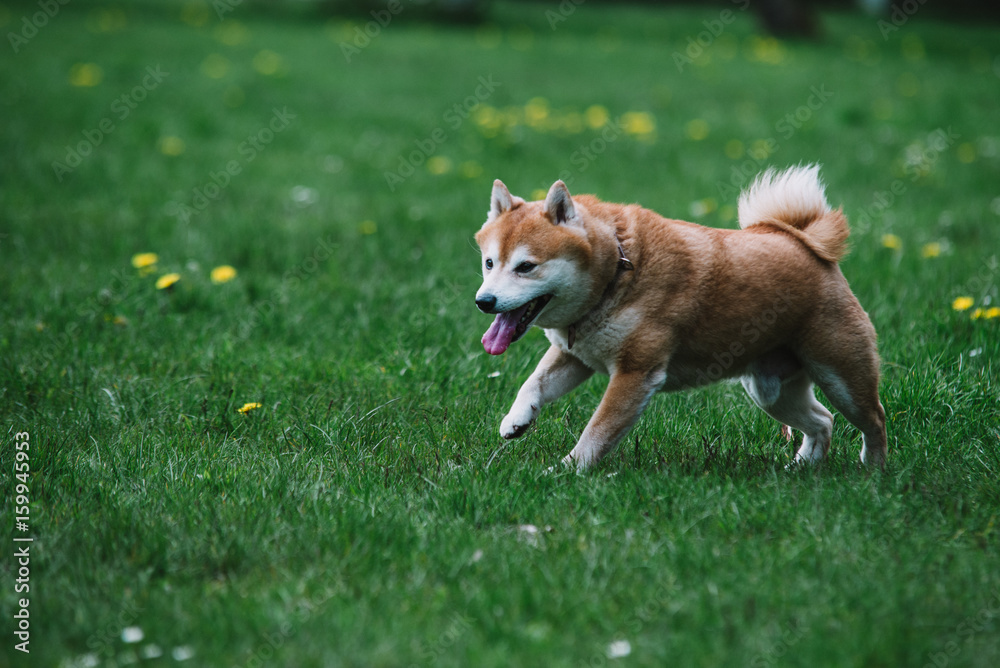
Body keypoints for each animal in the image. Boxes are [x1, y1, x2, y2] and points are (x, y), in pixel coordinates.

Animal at [472, 166, 888, 470]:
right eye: (490, 263)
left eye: (526, 267)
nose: (483, 301)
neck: (618, 273)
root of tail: (803, 242)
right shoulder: (576, 356)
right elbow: (534, 383)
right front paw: (516, 419)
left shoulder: (635, 374)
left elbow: (596, 432)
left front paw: (564, 472)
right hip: (771, 390)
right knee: (823, 421)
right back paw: (802, 466)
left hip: (841, 376)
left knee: (875, 418)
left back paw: (873, 470)